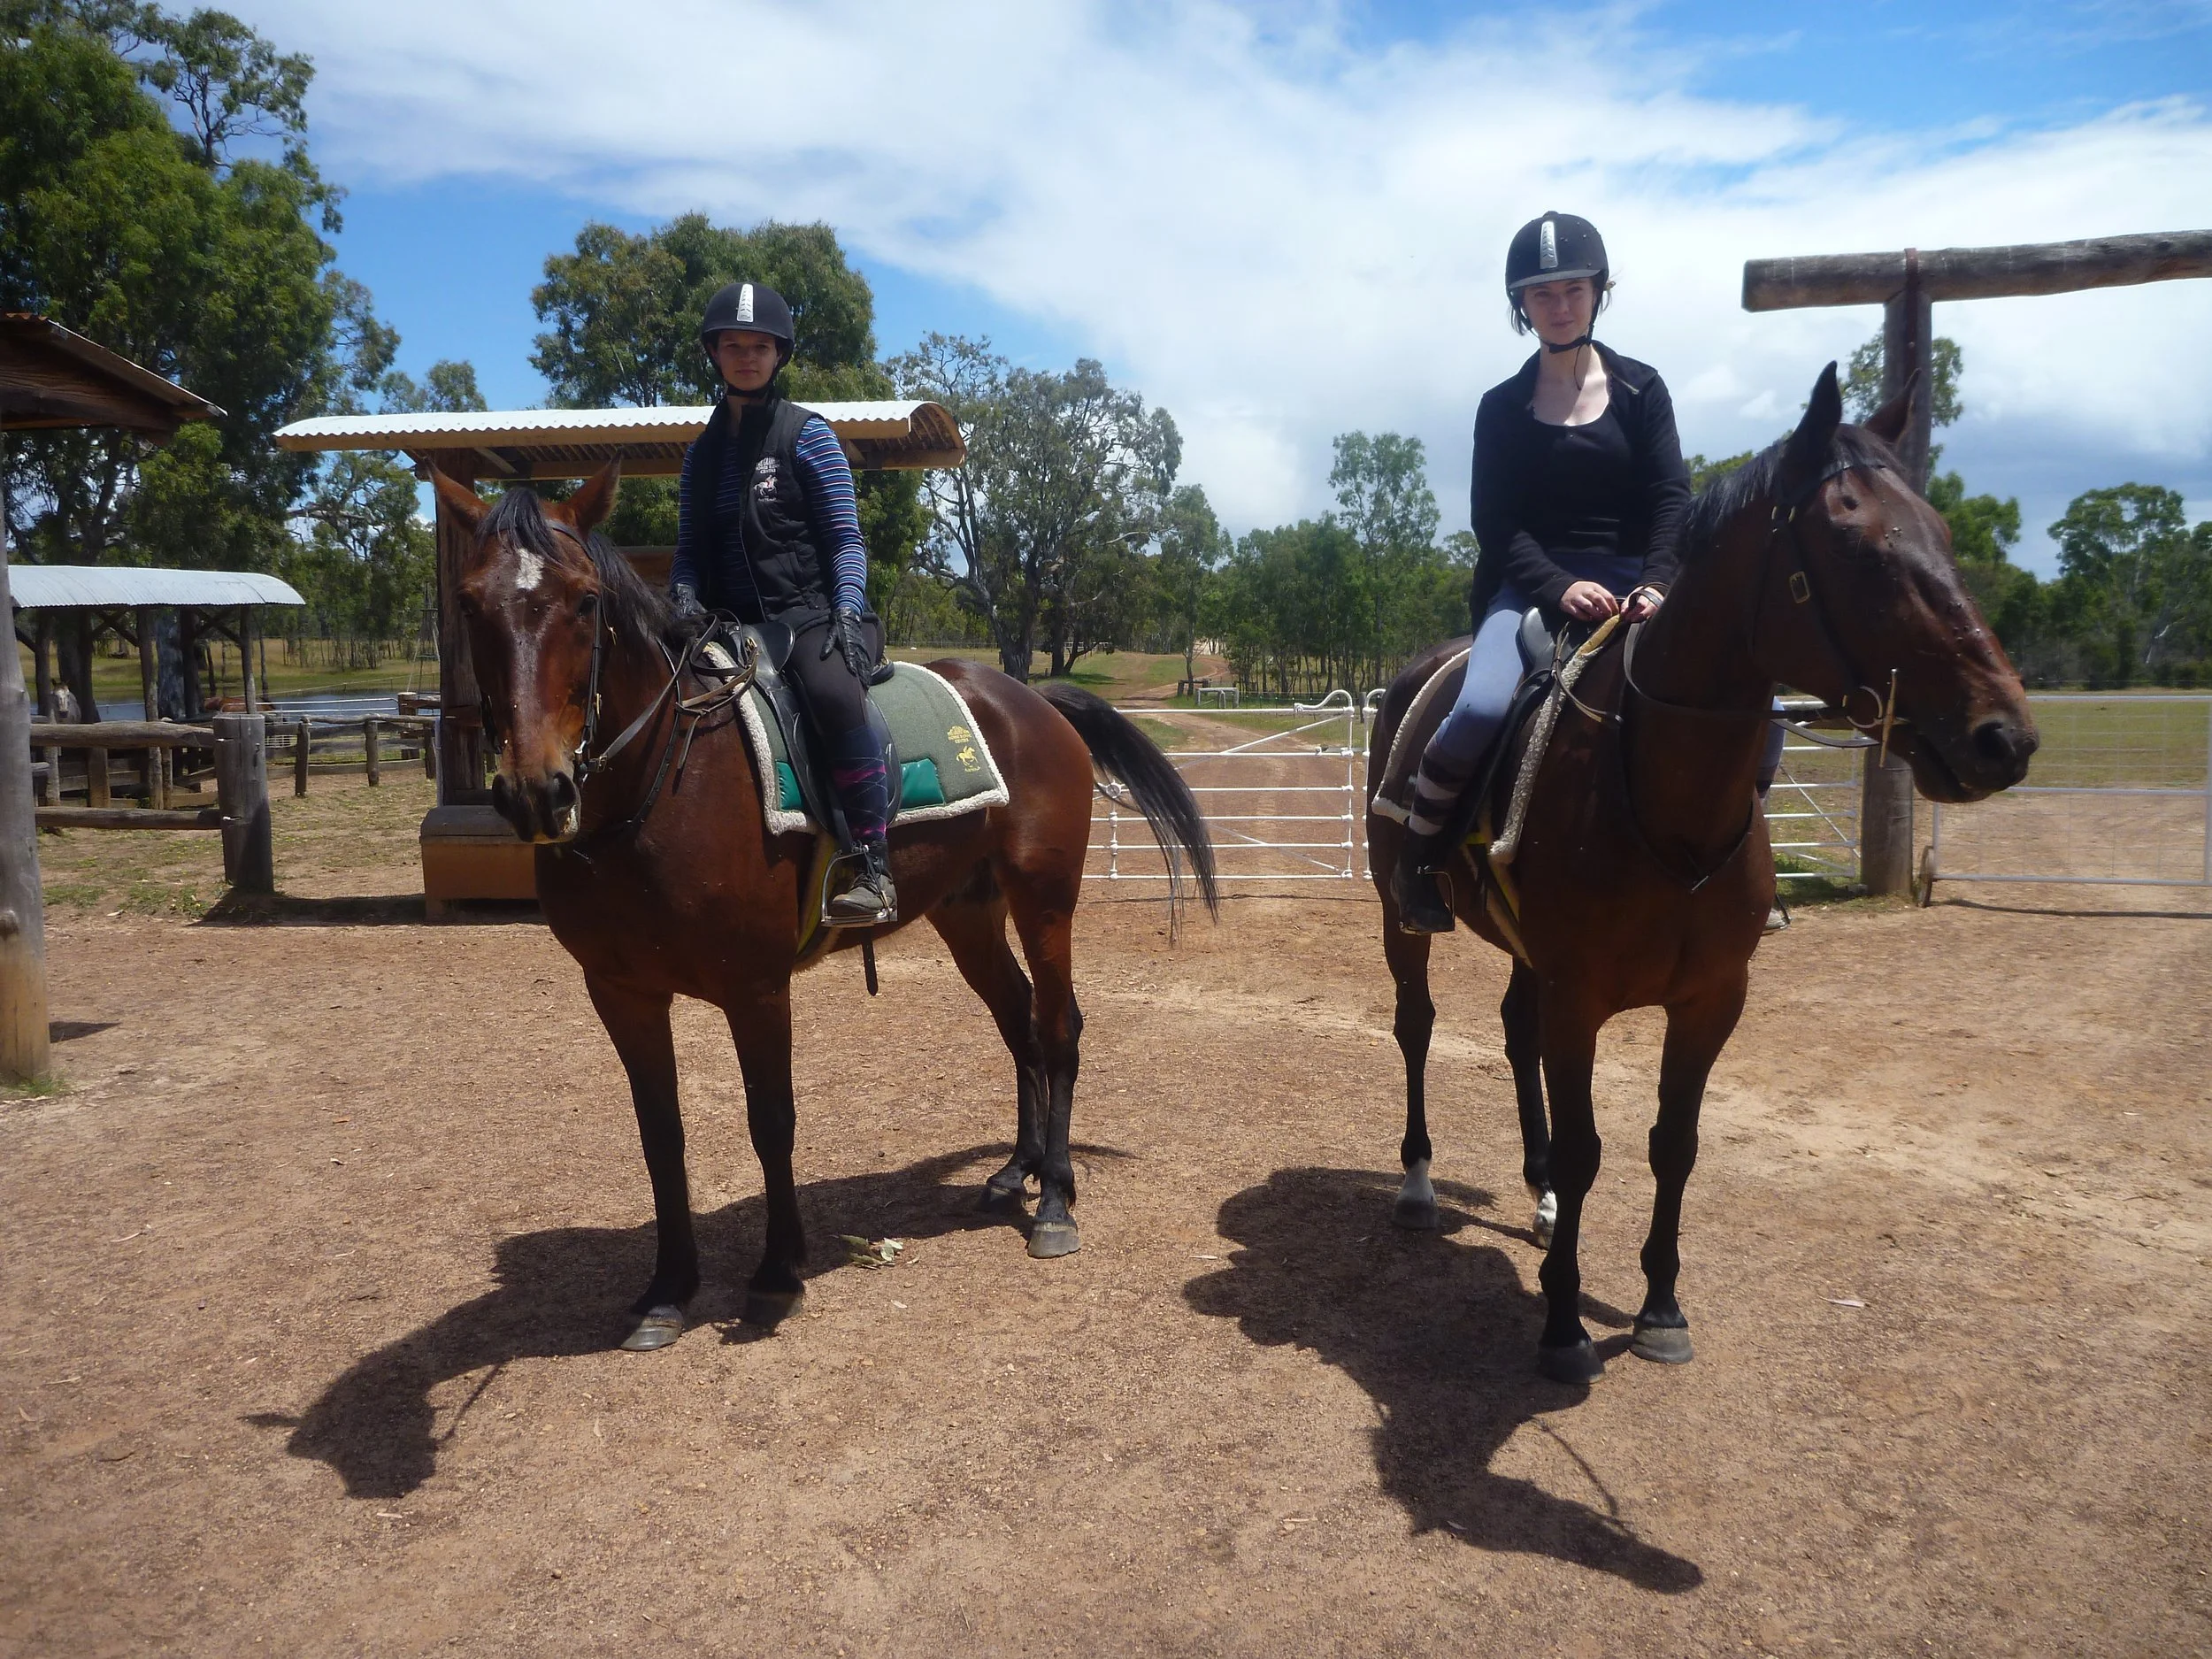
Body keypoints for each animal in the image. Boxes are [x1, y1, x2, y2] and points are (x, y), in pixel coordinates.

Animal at [429, 463, 1218, 1350]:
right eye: (469, 603)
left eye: (585, 601)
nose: (538, 789)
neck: (663, 784)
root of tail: (1032, 699)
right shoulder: (620, 992)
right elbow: (660, 1134)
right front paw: (669, 1287)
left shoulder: (756, 988)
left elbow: (771, 1119)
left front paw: (777, 1272)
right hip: (967, 913)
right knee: (1018, 1022)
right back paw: (1015, 1172)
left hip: (1045, 903)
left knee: (1056, 1028)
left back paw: (1054, 1197)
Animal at [1365, 364, 2037, 1382]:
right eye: (1857, 547)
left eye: (1946, 536)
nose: (2003, 737)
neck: (1658, 795)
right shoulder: (1580, 998)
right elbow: (1588, 1149)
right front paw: (1563, 1327)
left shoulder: (1711, 998)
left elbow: (1672, 1145)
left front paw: (1658, 1309)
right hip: (1400, 918)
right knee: (1416, 1027)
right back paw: (1417, 1184)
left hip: (1528, 957)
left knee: (1514, 1035)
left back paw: (1538, 1201)